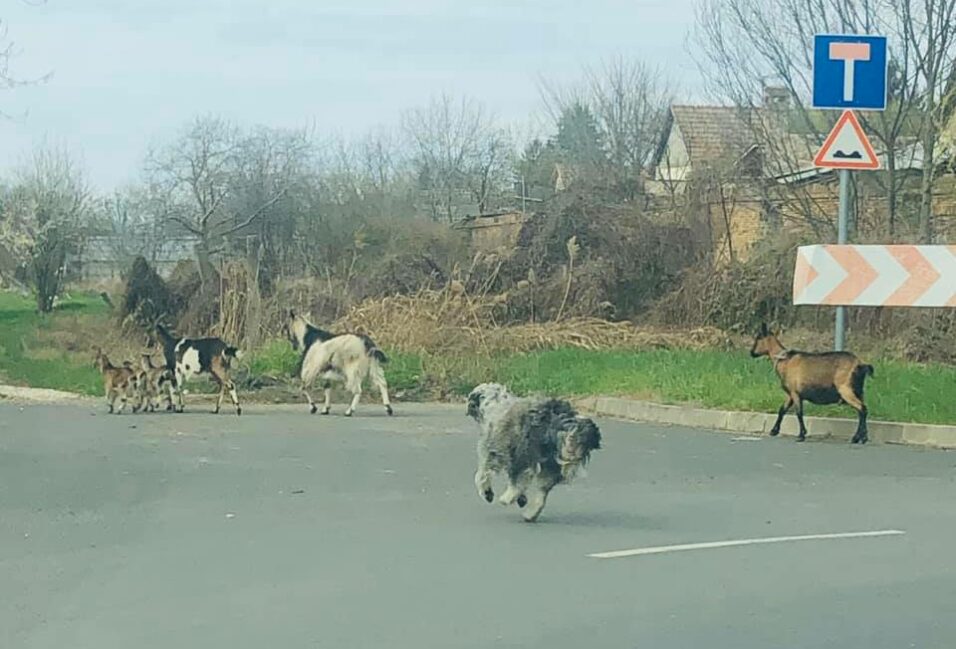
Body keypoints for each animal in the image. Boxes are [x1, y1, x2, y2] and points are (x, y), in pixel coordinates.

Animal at [466, 380, 600, 520]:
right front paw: (522, 499)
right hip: (550, 463)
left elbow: (481, 475)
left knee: (518, 482)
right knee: (542, 493)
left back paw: (507, 498)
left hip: (521, 454)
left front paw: (487, 492)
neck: (496, 403)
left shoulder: (492, 451)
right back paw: (531, 513)